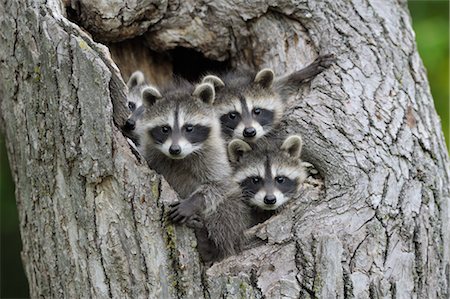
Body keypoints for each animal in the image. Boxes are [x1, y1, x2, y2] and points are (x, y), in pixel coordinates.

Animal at [135, 79, 251, 262]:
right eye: (165, 129)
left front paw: (192, 202)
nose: (175, 149)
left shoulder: (214, 155)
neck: (180, 158)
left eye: (189, 128)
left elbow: (221, 185)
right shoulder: (150, 153)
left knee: (226, 211)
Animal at [202, 54, 336, 144]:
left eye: (257, 111)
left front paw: (300, 74)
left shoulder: (275, 90)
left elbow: (283, 86)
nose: (249, 132)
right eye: (232, 115)